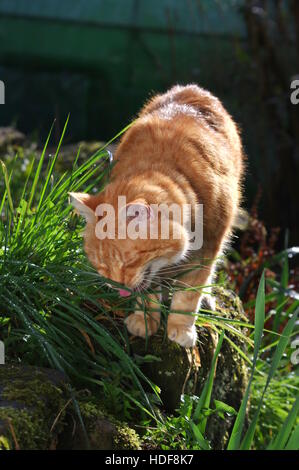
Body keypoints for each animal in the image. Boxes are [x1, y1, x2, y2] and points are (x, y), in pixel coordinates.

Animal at [70, 85, 244, 348]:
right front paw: (144, 321)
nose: (119, 288)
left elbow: (187, 297)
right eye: (102, 265)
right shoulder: (151, 273)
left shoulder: (206, 251)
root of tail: (193, 88)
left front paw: (180, 328)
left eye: (129, 262)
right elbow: (148, 292)